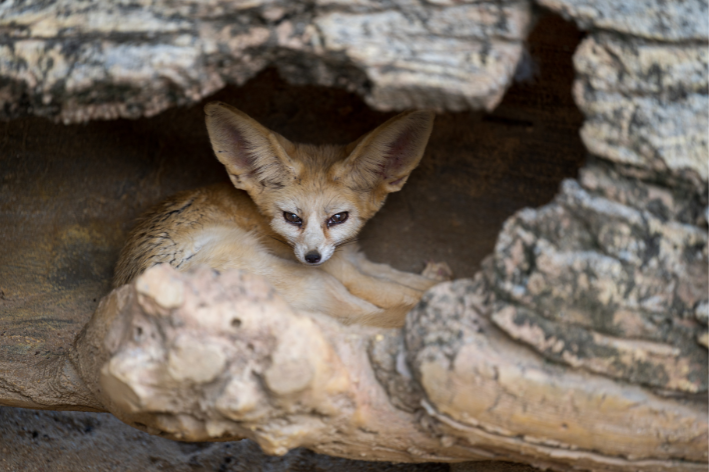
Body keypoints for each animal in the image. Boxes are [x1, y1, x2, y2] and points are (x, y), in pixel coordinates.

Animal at [115, 101, 448, 326]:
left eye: (338, 218)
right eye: (292, 218)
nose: (312, 257)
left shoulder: (354, 258)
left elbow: (399, 276)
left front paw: (434, 278)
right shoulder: (346, 274)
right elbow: (401, 293)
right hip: (319, 284)